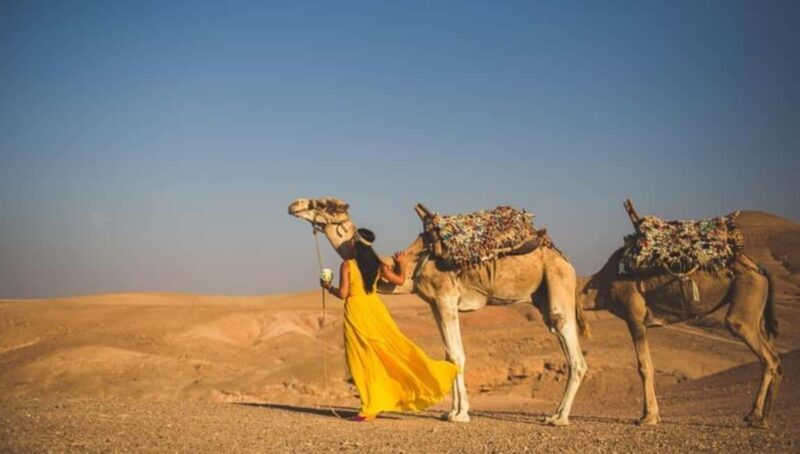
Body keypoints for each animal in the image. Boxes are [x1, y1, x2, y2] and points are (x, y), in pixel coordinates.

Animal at [288, 197, 589, 424]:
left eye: (325, 204)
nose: (294, 205)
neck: (413, 264)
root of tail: (565, 259)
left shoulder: (446, 298)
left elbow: (457, 355)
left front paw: (461, 415)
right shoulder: (435, 304)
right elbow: (448, 355)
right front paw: (451, 411)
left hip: (558, 282)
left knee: (574, 352)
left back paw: (559, 418)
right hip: (543, 293)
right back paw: (556, 414)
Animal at [577, 201, 781, 428]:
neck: (601, 284)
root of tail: (759, 269)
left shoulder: (634, 316)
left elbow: (644, 366)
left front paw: (647, 417)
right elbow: (649, 364)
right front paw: (654, 415)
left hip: (747, 292)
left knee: (765, 354)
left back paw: (756, 416)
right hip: (756, 306)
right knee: (773, 356)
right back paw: (762, 416)